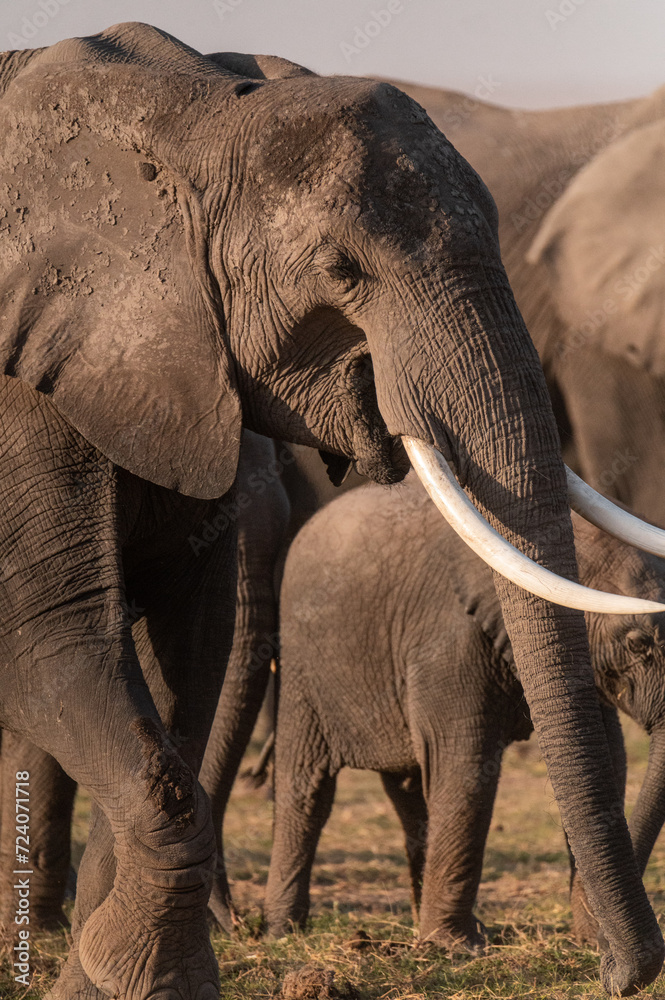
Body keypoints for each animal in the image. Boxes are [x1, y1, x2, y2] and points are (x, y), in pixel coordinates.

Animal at [266, 476, 665, 955]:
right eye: (638, 644)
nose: (608, 950)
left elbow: (604, 758)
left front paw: (590, 940)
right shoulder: (446, 640)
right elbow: (466, 765)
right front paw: (457, 947)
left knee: (408, 792)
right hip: (301, 659)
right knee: (307, 787)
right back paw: (283, 931)